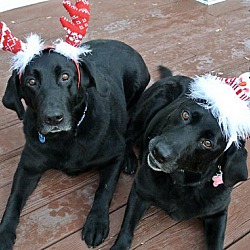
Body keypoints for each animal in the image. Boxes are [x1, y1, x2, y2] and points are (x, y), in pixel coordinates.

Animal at [0, 39, 149, 248]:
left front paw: (96, 222)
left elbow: (104, 190)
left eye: (65, 76)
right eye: (31, 82)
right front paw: (4, 232)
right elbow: (13, 199)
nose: (53, 118)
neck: (66, 138)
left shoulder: (114, 157)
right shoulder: (28, 167)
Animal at [111, 65, 248, 249]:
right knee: (127, 134)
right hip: (156, 101)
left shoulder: (218, 214)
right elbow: (126, 229)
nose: (159, 151)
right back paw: (129, 159)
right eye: (185, 115)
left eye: (207, 143)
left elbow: (217, 244)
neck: (182, 183)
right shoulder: (139, 192)